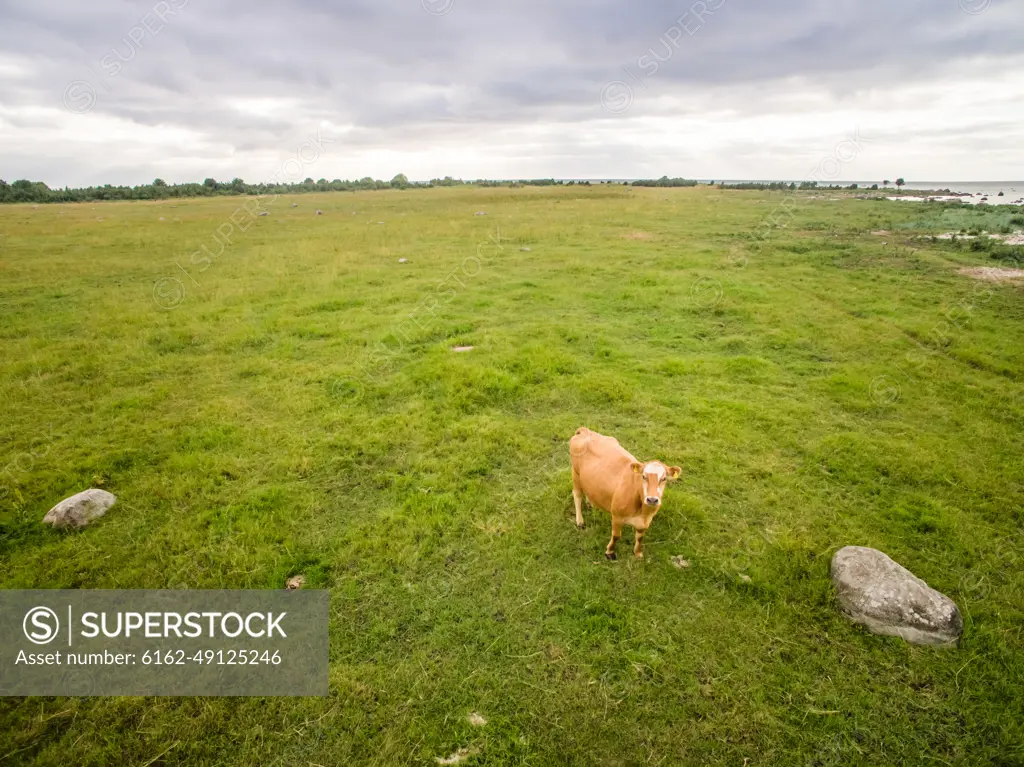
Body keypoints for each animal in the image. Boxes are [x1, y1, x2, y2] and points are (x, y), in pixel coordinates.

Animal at [569, 428, 679, 561]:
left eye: (664, 479)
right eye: (643, 477)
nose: (652, 500)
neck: (642, 511)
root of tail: (585, 430)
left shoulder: (645, 522)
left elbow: (640, 538)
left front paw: (638, 553)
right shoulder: (617, 516)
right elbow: (616, 536)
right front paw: (609, 552)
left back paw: (590, 503)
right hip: (575, 473)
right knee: (577, 495)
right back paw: (580, 521)